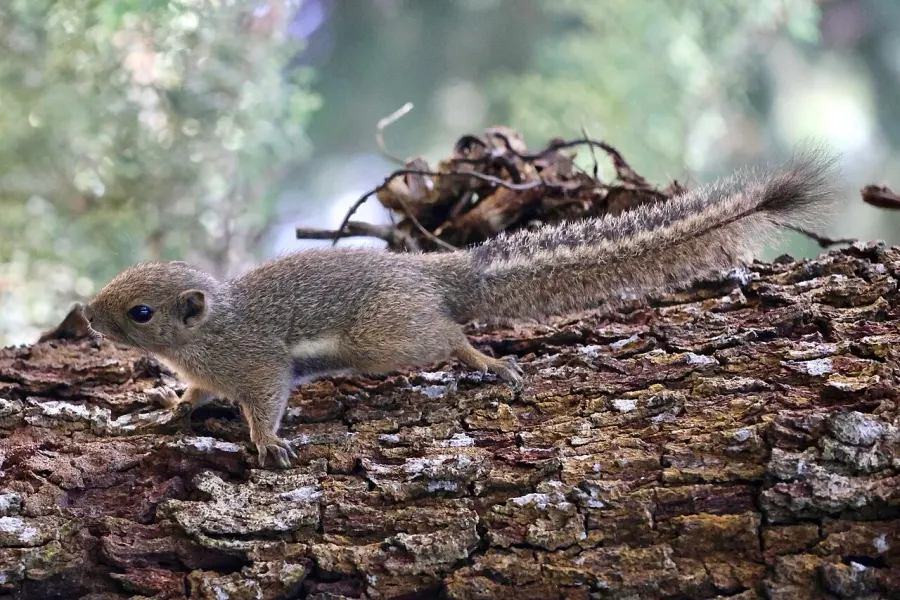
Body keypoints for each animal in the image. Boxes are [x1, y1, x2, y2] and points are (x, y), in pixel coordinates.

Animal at [83, 151, 837, 468]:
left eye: (140, 312)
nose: (87, 316)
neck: (206, 333)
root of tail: (435, 271)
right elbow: (194, 394)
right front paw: (170, 407)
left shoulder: (259, 364)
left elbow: (266, 401)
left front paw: (267, 443)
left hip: (387, 339)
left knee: (447, 335)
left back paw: (488, 361)